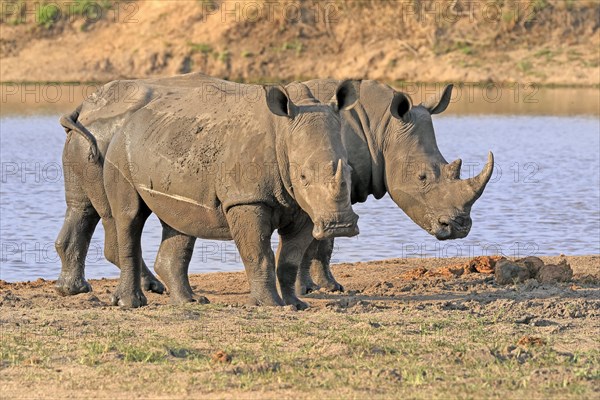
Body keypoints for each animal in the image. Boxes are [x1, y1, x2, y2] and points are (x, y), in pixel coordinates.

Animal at [55, 72, 360, 310]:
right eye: (303, 176)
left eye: (349, 172)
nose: (340, 225)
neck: (284, 132)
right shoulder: (245, 199)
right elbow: (258, 254)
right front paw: (271, 305)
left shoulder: (305, 209)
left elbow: (289, 260)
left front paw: (296, 305)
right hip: (118, 151)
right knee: (129, 218)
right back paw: (131, 304)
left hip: (167, 141)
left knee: (179, 223)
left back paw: (190, 302)